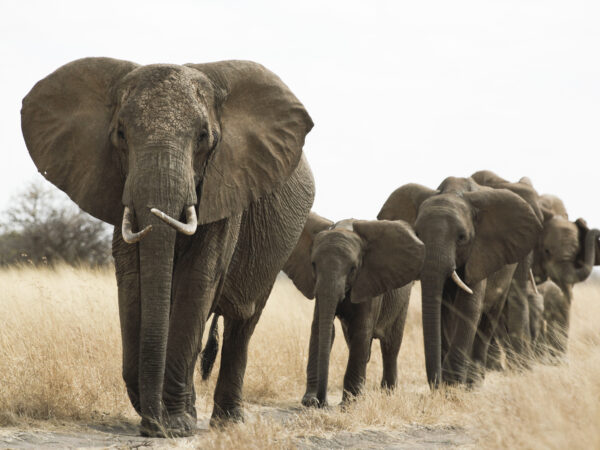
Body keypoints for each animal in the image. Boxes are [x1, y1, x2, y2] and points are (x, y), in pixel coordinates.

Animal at [21, 58, 316, 438]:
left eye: (204, 138)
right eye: (120, 135)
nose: (153, 425)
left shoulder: (226, 185)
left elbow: (197, 281)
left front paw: (176, 425)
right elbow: (133, 280)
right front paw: (158, 420)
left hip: (279, 248)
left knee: (243, 323)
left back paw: (227, 422)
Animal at [284, 213, 424, 406]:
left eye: (353, 268)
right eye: (313, 264)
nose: (323, 401)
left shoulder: (368, 281)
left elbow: (361, 330)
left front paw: (349, 404)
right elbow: (320, 328)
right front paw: (310, 401)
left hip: (402, 301)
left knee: (390, 345)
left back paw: (387, 394)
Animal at [380, 176, 544, 386]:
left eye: (462, 237)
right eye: (417, 234)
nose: (436, 383)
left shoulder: (480, 252)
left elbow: (469, 307)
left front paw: (453, 383)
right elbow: (442, 309)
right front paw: (446, 384)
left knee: (489, 318)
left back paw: (474, 383)